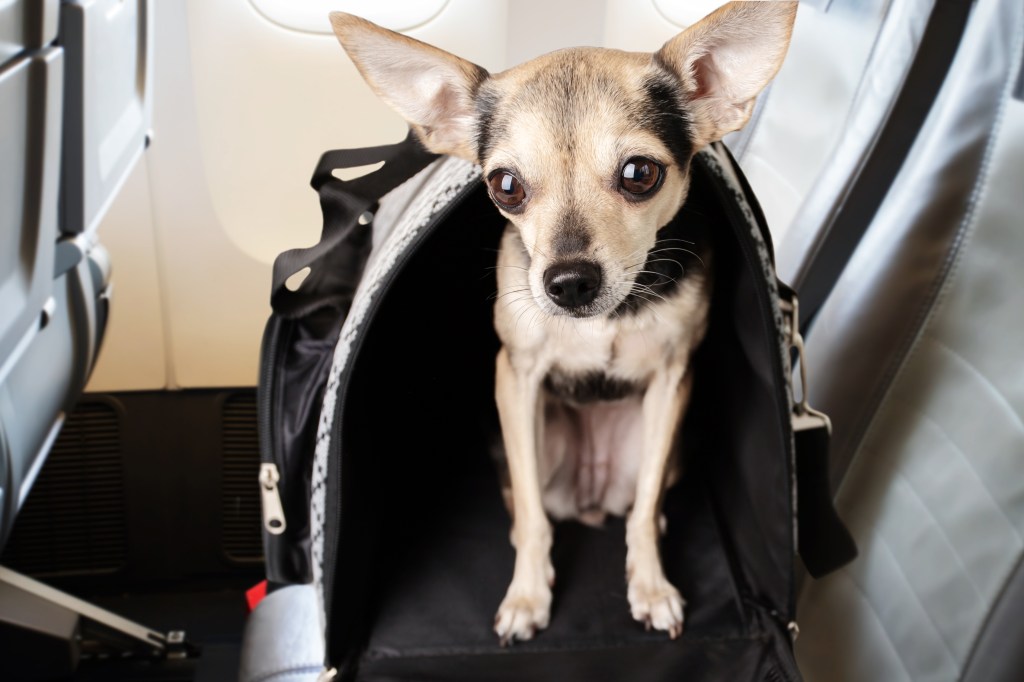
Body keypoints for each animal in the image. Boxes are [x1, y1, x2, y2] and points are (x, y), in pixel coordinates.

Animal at [331, 1, 794, 643]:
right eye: (505, 186)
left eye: (639, 174)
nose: (569, 281)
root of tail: (591, 493)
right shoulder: (516, 380)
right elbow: (531, 515)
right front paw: (528, 596)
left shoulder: (673, 381)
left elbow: (645, 509)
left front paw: (651, 585)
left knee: (644, 501)